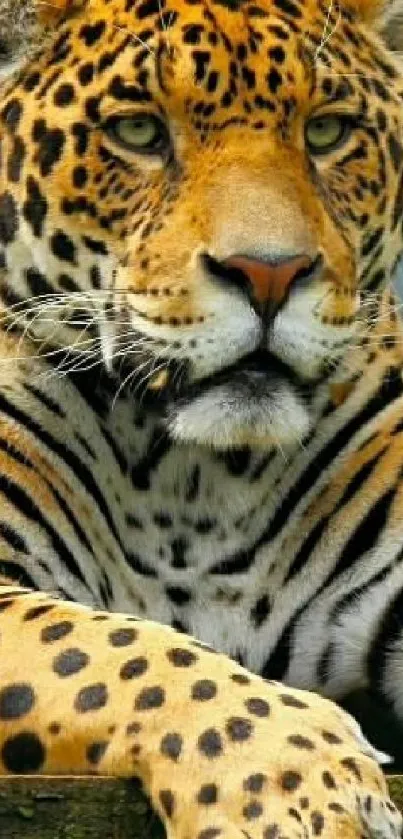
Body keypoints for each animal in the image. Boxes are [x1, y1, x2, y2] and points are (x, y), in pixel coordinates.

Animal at [0, 0, 403, 832]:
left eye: (325, 132)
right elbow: (116, 649)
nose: (270, 273)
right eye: (138, 131)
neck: (192, 481)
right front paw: (300, 787)